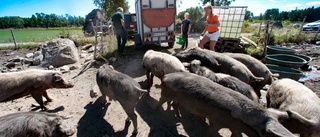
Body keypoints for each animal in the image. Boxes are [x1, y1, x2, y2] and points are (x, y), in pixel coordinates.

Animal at [159, 72, 296, 136]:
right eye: (268, 135)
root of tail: (166, 75)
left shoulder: (234, 126)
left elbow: (236, 135)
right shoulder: (216, 121)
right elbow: (212, 131)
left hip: (178, 98)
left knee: (175, 105)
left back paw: (178, 118)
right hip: (166, 93)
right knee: (162, 101)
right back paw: (157, 111)